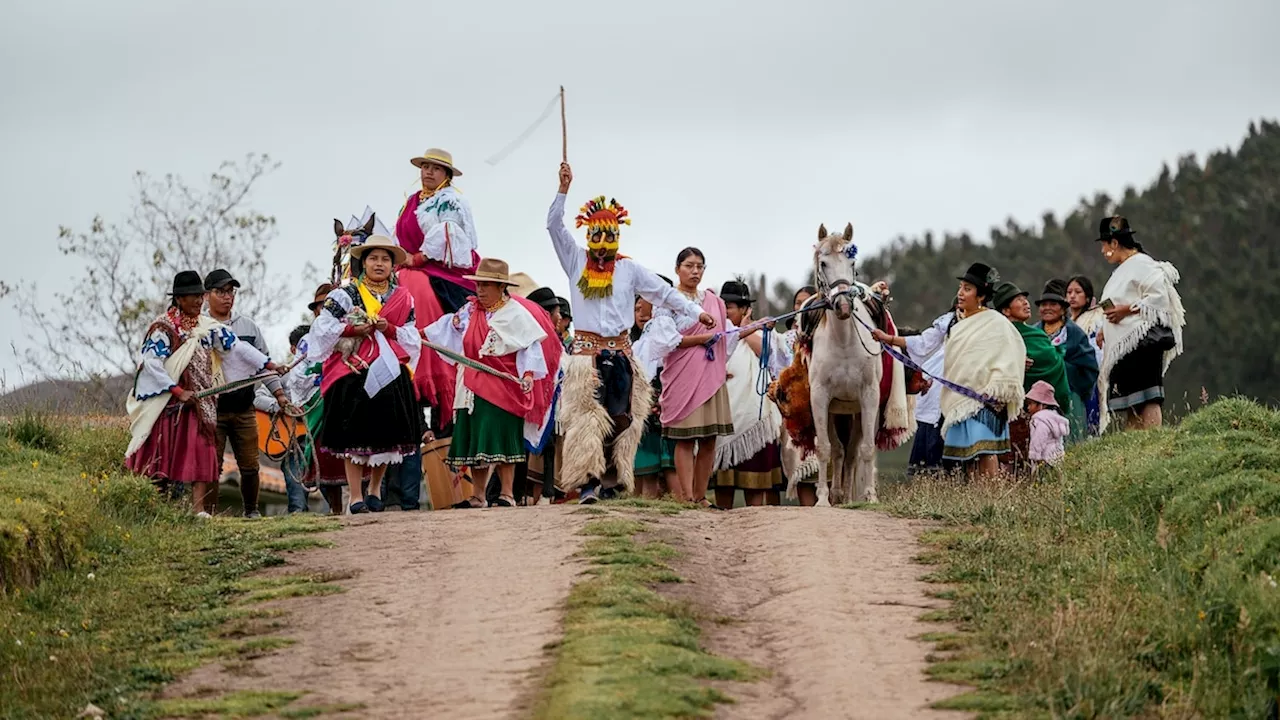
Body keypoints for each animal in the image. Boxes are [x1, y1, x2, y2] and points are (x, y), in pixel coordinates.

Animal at [808, 222, 880, 504]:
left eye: (852, 263)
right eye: (823, 263)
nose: (843, 306)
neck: (844, 343)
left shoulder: (869, 396)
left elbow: (866, 449)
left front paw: (870, 497)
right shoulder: (820, 397)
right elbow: (824, 448)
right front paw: (822, 499)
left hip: (856, 411)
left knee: (850, 453)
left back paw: (848, 498)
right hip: (835, 411)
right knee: (839, 451)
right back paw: (837, 494)